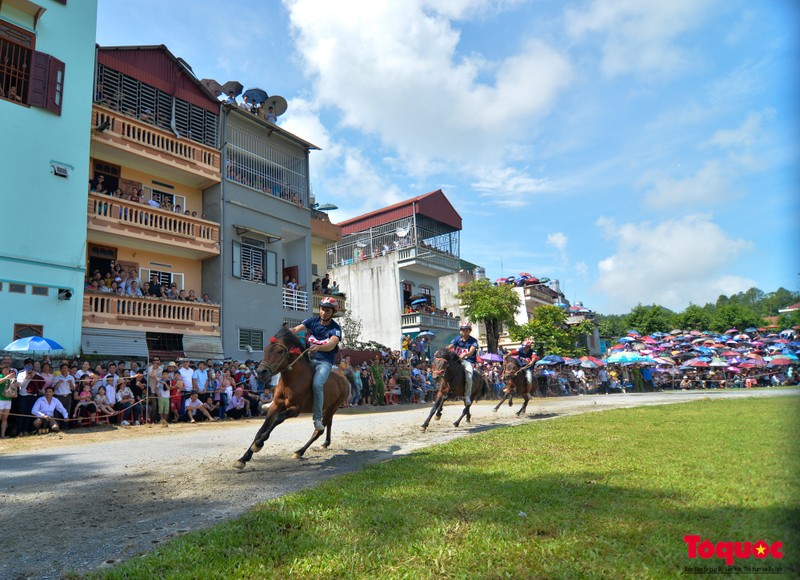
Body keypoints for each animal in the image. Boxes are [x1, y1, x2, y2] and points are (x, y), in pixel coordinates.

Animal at [236, 328, 352, 468]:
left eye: (280, 351)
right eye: (266, 349)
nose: (261, 372)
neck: (293, 380)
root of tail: (343, 377)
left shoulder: (295, 409)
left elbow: (278, 419)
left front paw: (258, 444)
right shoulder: (276, 405)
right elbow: (261, 430)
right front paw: (243, 458)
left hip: (332, 407)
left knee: (318, 430)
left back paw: (300, 451)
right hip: (327, 407)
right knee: (327, 424)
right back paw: (325, 444)